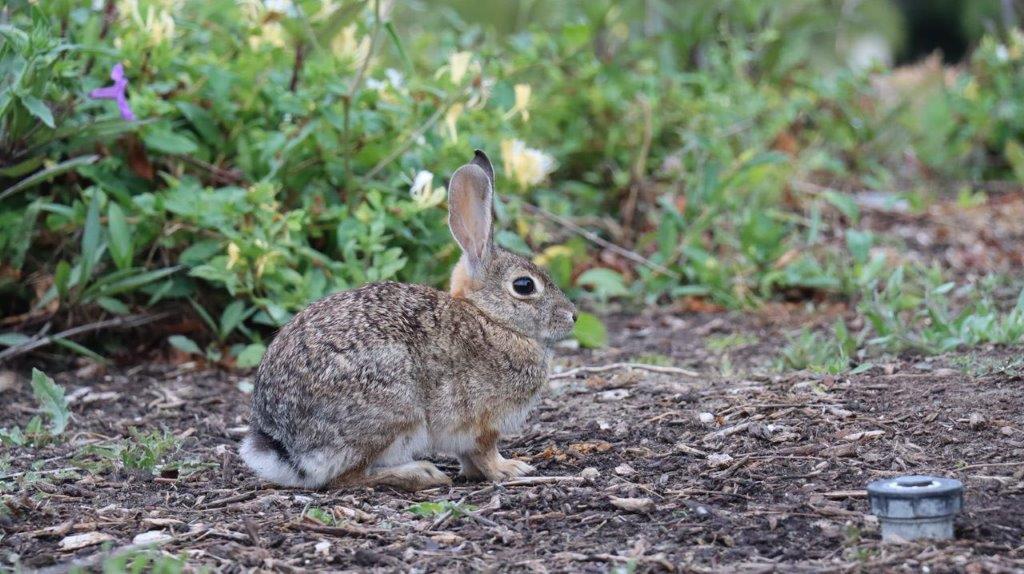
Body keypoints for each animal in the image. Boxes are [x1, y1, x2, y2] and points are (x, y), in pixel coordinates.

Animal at [237, 150, 577, 491]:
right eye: (524, 285)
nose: (572, 315)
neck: (491, 319)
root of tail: (286, 449)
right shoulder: (482, 422)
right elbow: (484, 452)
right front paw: (509, 469)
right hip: (393, 410)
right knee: (346, 477)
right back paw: (420, 473)